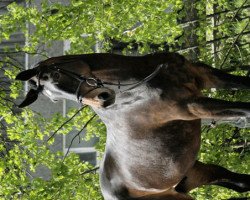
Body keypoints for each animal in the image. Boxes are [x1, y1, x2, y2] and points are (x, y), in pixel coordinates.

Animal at [16, 52, 249, 199]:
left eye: (54, 78)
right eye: (54, 98)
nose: (103, 99)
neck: (139, 84)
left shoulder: (204, 75)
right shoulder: (192, 106)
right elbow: (246, 110)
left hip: (193, 174)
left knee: (238, 183)